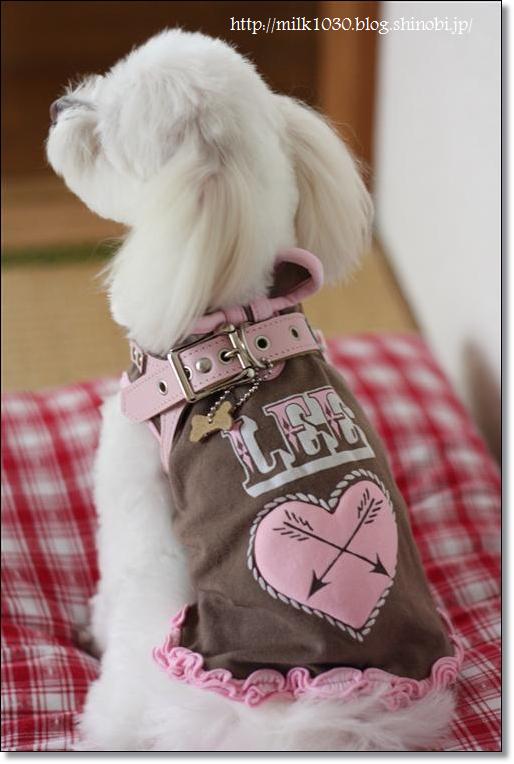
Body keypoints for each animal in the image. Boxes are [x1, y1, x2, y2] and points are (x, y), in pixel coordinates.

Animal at [46, 29, 462, 751]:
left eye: (107, 131)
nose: (59, 105)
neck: (234, 321)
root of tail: (302, 712)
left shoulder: (130, 482)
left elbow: (117, 563)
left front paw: (88, 625)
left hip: (152, 640)